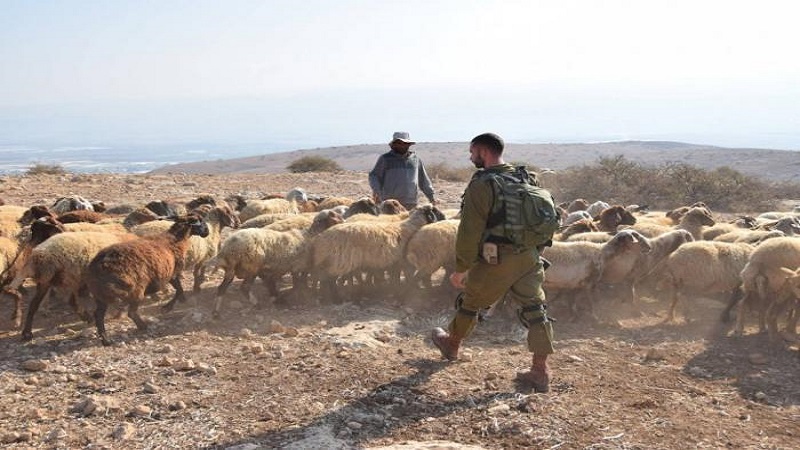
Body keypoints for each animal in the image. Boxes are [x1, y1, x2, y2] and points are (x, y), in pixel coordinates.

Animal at [86, 214, 209, 345]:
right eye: (200, 221)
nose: (207, 232)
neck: (174, 240)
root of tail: (98, 266)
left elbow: (179, 290)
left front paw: (176, 302)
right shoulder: (172, 274)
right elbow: (179, 290)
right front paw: (167, 307)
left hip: (100, 295)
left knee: (98, 316)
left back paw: (106, 340)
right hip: (135, 290)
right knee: (131, 312)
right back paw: (142, 326)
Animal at [209, 210, 344, 315]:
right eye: (335, 216)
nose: (343, 222)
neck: (310, 235)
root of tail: (229, 247)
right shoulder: (298, 267)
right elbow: (298, 283)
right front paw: (299, 296)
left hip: (231, 270)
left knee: (221, 288)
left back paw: (216, 312)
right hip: (252, 266)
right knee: (245, 288)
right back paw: (256, 304)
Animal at [310, 205, 443, 300]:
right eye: (435, 211)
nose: (444, 218)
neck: (411, 227)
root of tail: (321, 238)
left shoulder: (395, 264)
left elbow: (396, 278)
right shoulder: (404, 263)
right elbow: (409, 277)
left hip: (337, 262)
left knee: (328, 278)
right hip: (340, 261)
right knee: (329, 279)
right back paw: (335, 298)